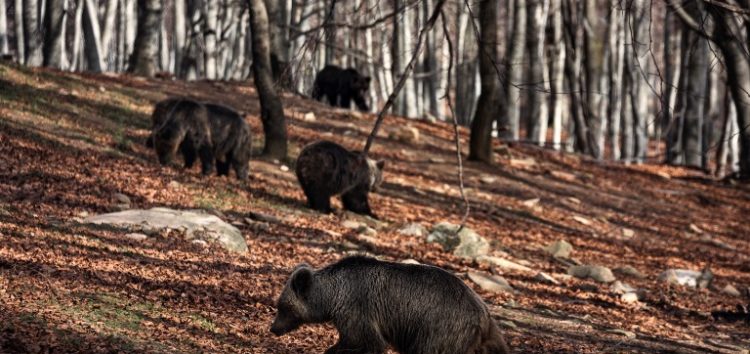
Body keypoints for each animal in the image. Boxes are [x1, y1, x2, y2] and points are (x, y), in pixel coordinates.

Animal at [270, 256, 512, 354]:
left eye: (282, 306)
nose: (273, 328)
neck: (332, 296)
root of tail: (483, 313)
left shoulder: (357, 308)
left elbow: (364, 341)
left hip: (440, 328)